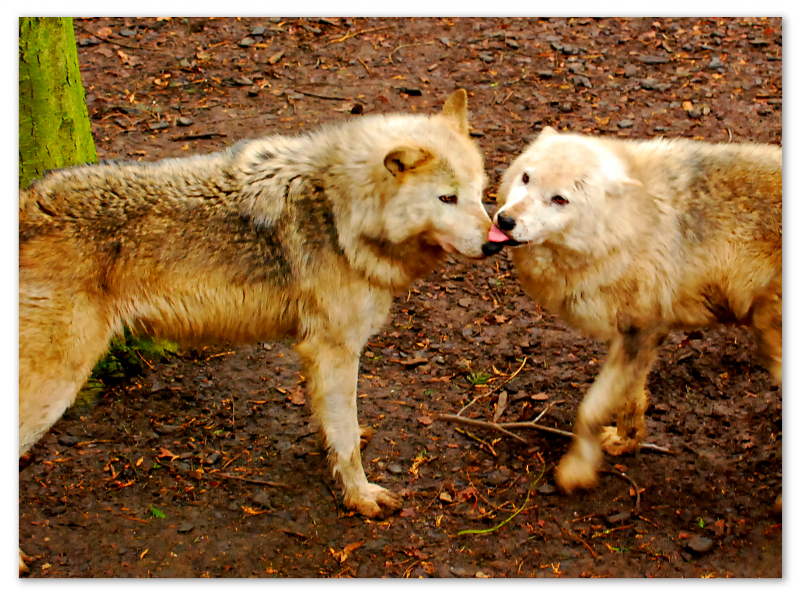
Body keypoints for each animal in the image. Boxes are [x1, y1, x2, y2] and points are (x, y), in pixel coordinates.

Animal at [19, 90, 500, 572]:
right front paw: (361, 497)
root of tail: (27, 204)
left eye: (479, 194)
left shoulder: (316, 351)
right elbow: (347, 441)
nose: (496, 242)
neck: (339, 211)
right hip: (54, 384)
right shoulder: (335, 348)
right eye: (447, 198)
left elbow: (331, 420)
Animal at [489, 127, 781, 493]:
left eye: (559, 199)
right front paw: (626, 441)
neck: (627, 227)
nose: (505, 220)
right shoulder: (637, 335)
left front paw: (577, 471)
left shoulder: (640, 333)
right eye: (526, 178)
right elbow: (630, 398)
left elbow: (589, 410)